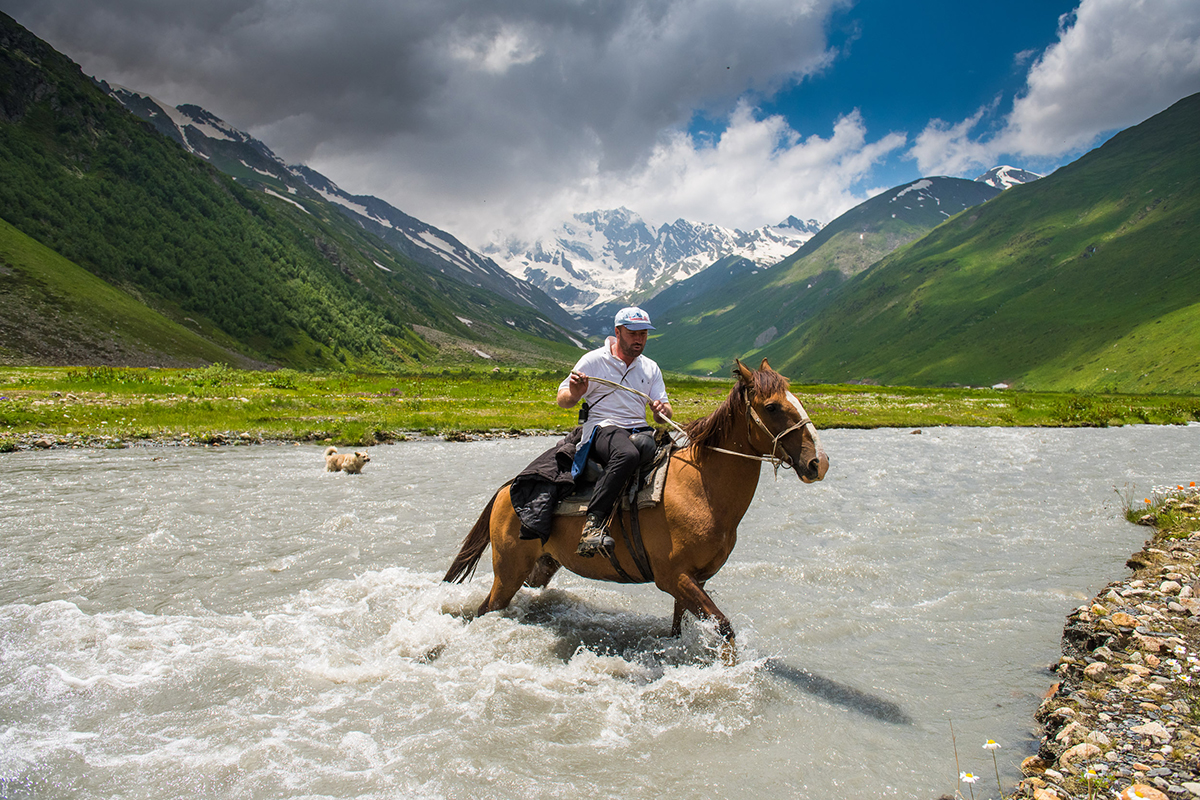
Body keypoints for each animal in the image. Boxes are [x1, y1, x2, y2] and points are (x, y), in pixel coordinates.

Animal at [441, 359, 825, 662]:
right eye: (772, 407)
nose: (818, 463)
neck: (700, 488)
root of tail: (507, 489)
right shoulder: (674, 578)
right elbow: (724, 627)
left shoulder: (693, 581)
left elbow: (679, 628)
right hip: (508, 572)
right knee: (486, 610)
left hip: (541, 566)